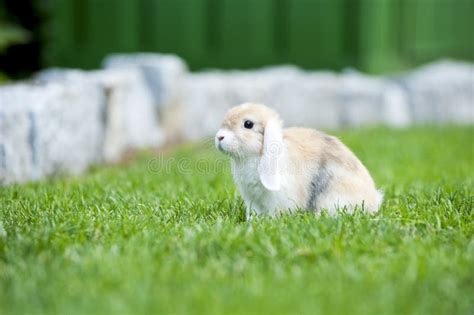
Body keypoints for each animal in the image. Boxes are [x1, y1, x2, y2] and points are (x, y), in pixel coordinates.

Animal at [217, 102, 384, 221]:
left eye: (248, 124)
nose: (219, 137)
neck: (254, 156)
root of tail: (373, 200)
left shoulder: (276, 199)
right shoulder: (252, 200)